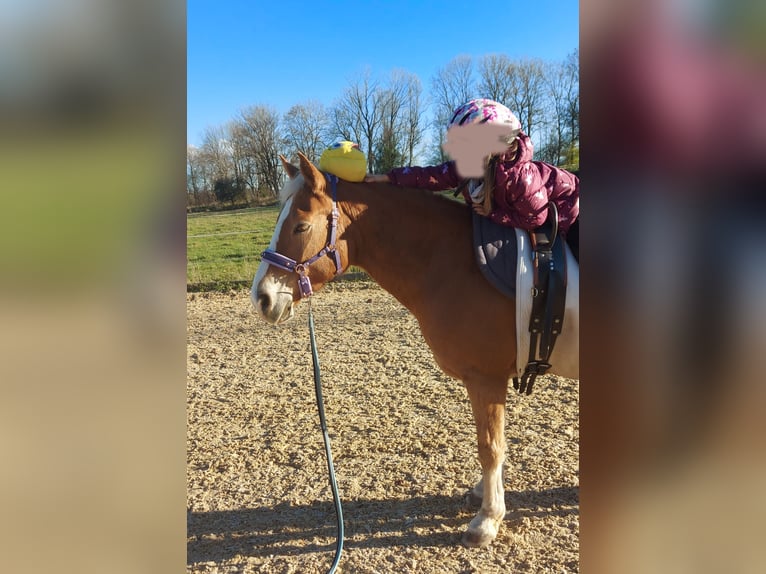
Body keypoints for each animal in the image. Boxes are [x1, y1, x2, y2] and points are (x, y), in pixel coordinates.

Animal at [251, 151, 575, 548]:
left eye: (300, 227)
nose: (262, 298)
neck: (454, 260)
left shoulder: (486, 379)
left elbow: (490, 447)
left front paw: (487, 519)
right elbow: (493, 443)